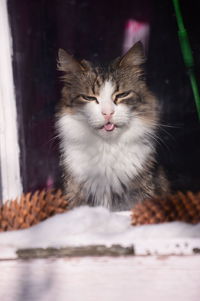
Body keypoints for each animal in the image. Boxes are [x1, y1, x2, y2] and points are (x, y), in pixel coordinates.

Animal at [55, 42, 169, 210]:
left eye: (122, 95)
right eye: (89, 98)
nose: (107, 113)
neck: (106, 147)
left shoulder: (140, 193)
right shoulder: (75, 193)